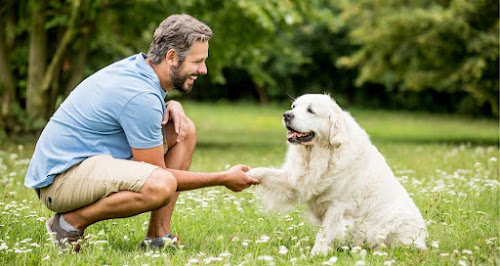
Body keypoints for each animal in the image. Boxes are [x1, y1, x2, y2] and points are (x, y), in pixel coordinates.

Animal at [248, 94, 428, 256]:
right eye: (293, 107)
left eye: (310, 110)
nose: (286, 115)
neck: (322, 154)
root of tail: (424, 240)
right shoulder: (296, 181)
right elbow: (265, 172)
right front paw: (247, 174)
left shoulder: (338, 205)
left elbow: (325, 232)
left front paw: (317, 254)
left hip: (393, 222)